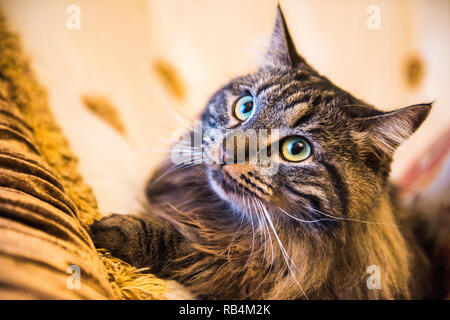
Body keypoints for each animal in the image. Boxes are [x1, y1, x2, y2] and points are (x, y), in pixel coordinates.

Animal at [91, 5, 432, 300]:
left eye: (296, 149)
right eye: (245, 107)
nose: (226, 153)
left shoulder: (230, 266)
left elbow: (185, 246)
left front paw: (109, 230)